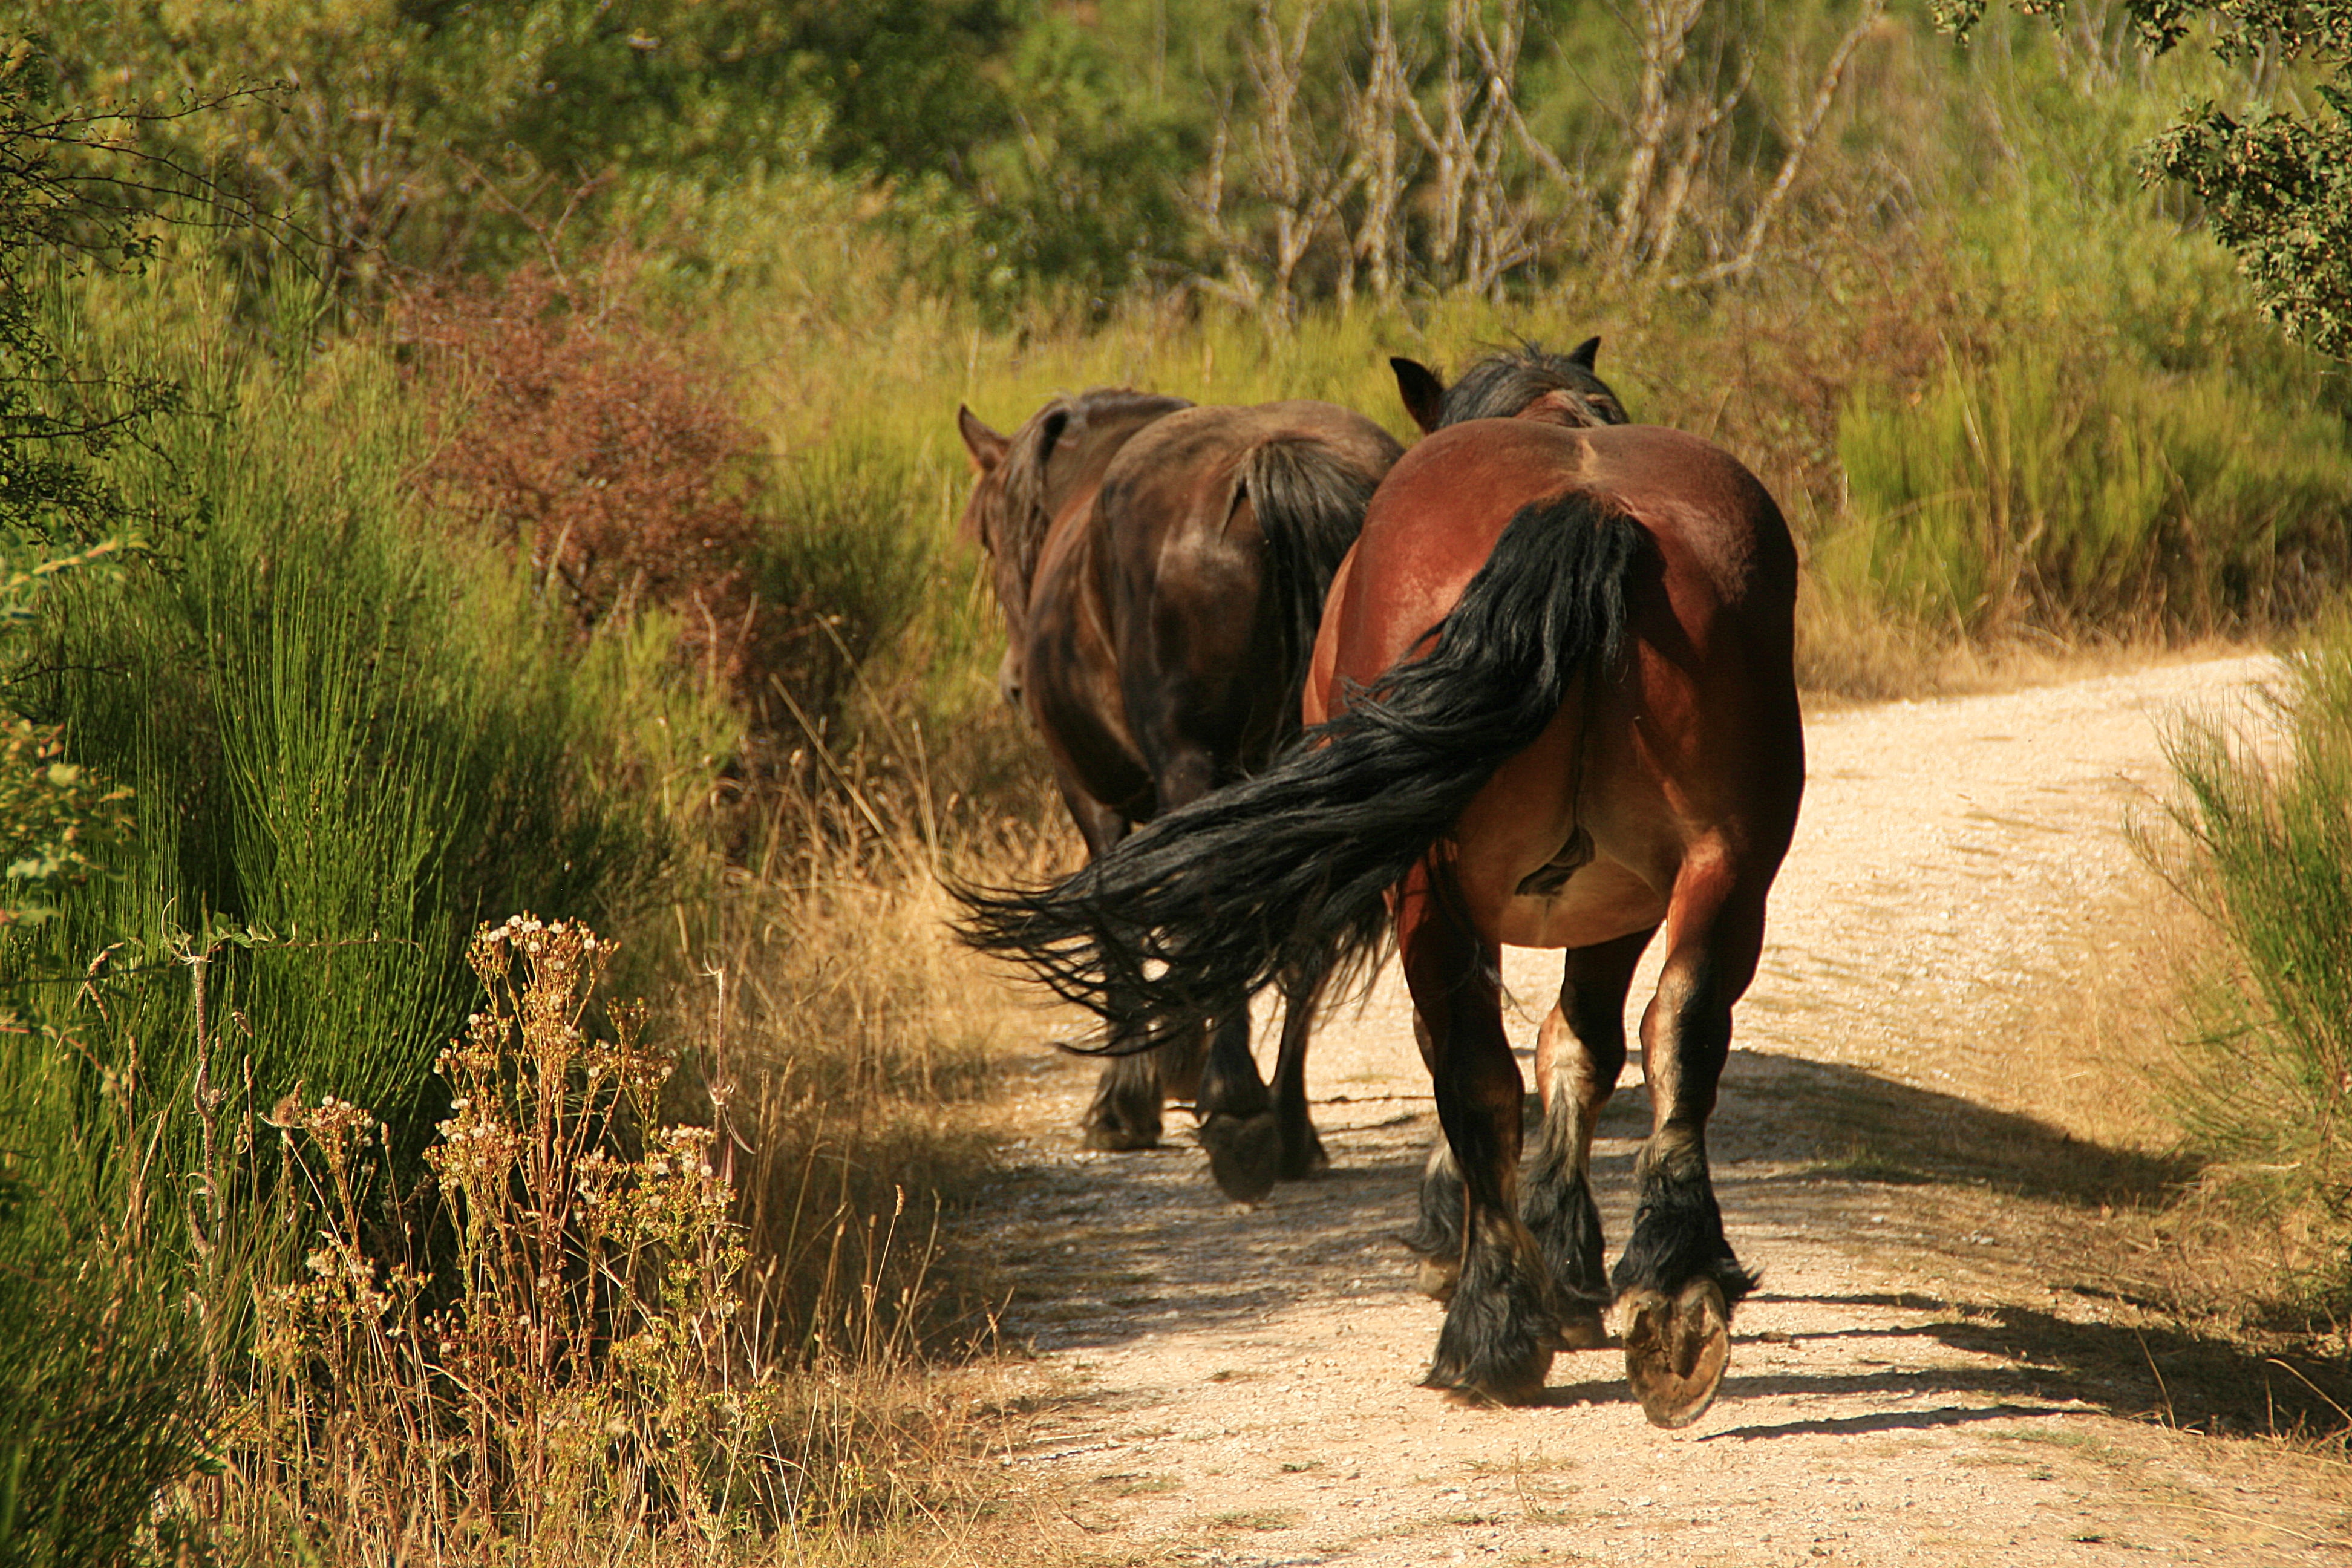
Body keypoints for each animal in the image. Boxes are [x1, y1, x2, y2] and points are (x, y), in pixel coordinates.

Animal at [956, 389, 1404, 1201]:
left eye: (988, 537)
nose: (1012, 685)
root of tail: (1274, 460)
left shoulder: (1095, 801)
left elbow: (1121, 930)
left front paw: (1128, 1100)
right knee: (1306, 933)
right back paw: (1291, 1129)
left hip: (1197, 768)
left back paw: (1237, 1114)